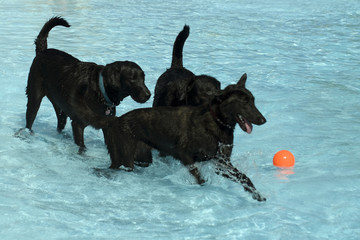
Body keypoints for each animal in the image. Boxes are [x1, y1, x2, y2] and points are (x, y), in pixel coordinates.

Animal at [20, 16, 150, 152]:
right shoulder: (78, 124)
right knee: (30, 120)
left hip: (59, 104)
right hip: (34, 97)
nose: (148, 95)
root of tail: (42, 51)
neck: (100, 90)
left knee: (60, 121)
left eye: (143, 78)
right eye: (132, 79)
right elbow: (82, 147)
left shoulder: (106, 124)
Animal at [104, 74, 268, 201]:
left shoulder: (221, 164)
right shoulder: (185, 154)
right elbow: (198, 176)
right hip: (125, 157)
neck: (216, 121)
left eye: (253, 100)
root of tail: (116, 121)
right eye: (244, 102)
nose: (263, 120)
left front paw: (256, 194)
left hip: (141, 156)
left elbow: (244, 178)